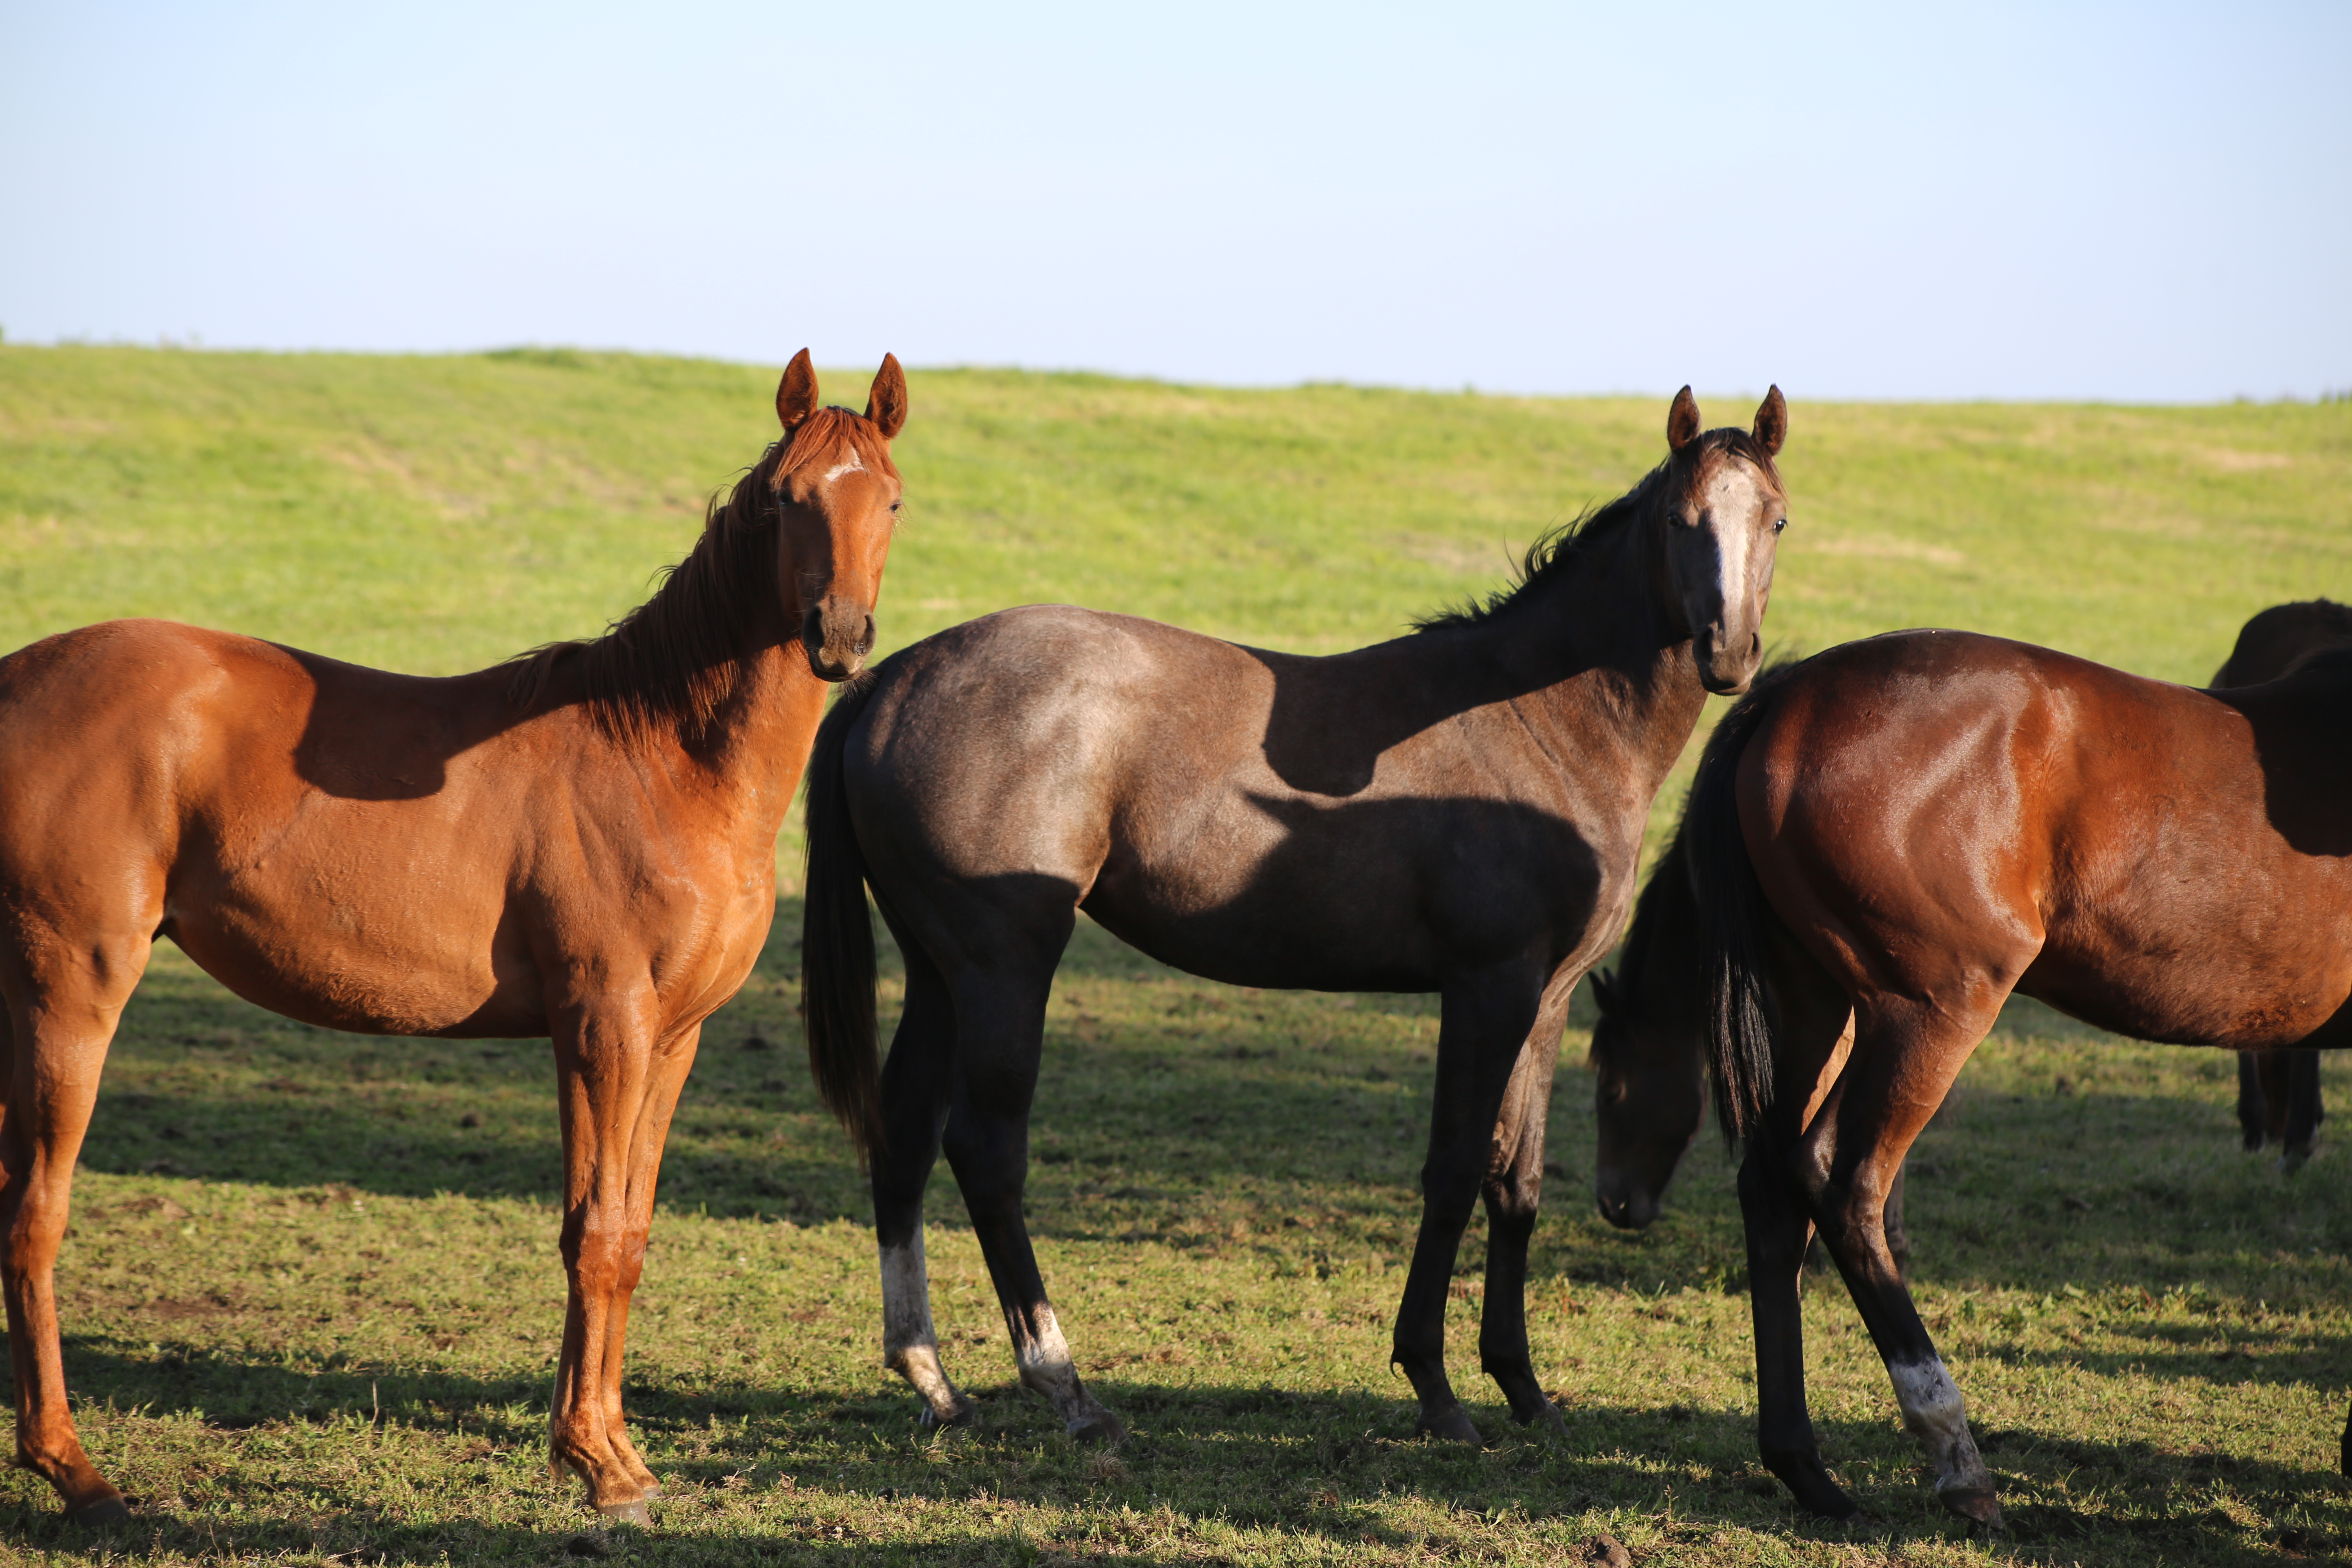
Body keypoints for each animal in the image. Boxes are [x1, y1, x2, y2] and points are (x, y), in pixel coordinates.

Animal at [0, 352, 908, 1523]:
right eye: (787, 499)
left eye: (891, 500)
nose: (838, 637)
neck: (663, 756)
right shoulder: (605, 1023)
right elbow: (596, 1235)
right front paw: (600, 1463)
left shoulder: (667, 1039)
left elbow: (621, 1231)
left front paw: (605, 1449)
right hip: (70, 988)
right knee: (35, 1214)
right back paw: (73, 1469)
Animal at [804, 390, 1778, 1448]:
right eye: (1681, 519)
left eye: (1772, 519)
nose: (1729, 654)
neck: (1541, 724)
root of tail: (889, 681)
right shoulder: (1486, 988)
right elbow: (1451, 1171)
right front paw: (1436, 1388)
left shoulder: (1545, 998)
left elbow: (1512, 1183)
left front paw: (1522, 1388)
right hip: (1004, 967)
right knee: (985, 1150)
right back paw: (1066, 1387)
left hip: (939, 971)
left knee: (902, 1134)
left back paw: (933, 1378)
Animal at [1684, 630, 2352, 1532]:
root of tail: (1792, 694)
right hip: (1931, 1008)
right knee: (1843, 1184)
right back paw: (1955, 1454)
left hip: (1819, 1005)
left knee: (1773, 1192)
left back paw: (1807, 1472)